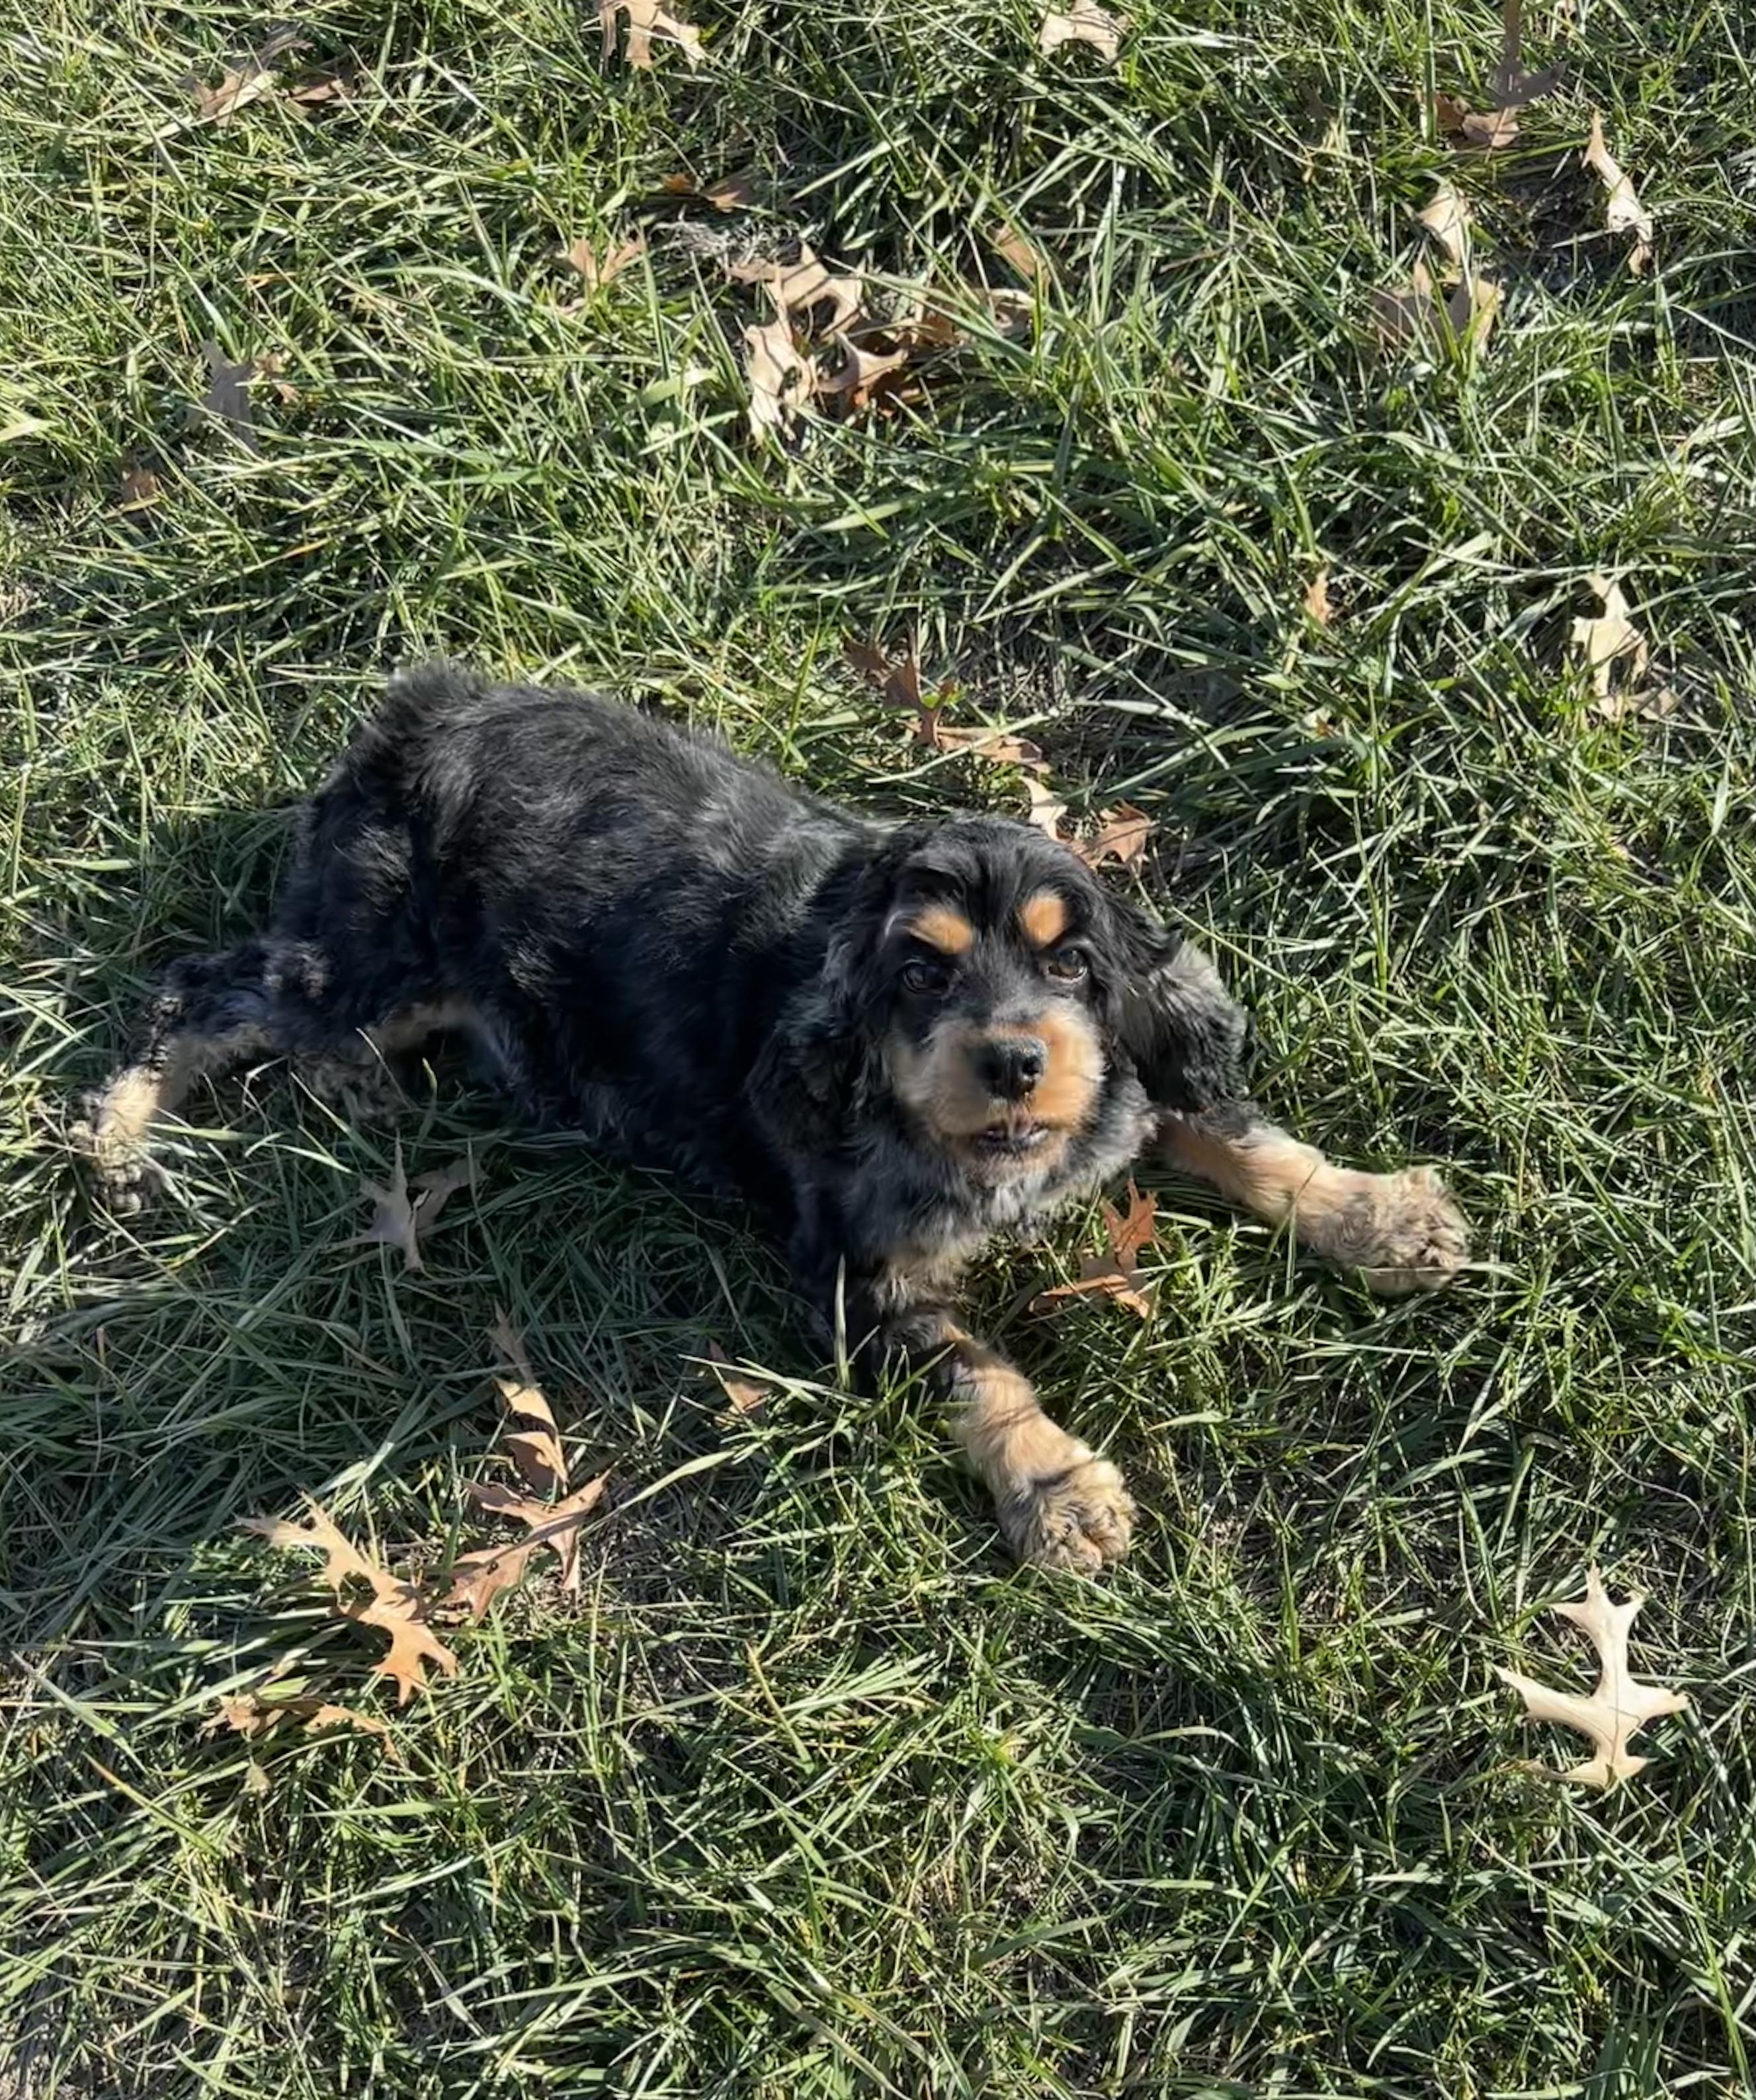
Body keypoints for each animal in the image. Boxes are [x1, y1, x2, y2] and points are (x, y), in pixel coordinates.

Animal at [81, 663, 1469, 1573]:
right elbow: (980, 1371)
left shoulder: (1121, 1081)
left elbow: (1235, 1130)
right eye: (919, 974)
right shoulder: (856, 1272)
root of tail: (413, 714)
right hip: (370, 964)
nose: (1017, 1062)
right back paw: (120, 1138)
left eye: (1070, 963)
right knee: (203, 990)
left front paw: (1380, 1218)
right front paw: (1060, 1490)